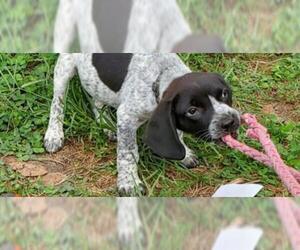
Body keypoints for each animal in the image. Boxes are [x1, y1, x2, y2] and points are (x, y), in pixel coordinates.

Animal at [44, 53, 240, 196]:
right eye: (192, 110)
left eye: (224, 93)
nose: (230, 122)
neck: (160, 74)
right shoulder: (127, 117)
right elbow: (128, 153)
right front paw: (129, 182)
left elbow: (177, 134)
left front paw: (184, 154)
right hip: (65, 68)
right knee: (57, 102)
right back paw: (54, 134)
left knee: (96, 99)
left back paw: (106, 123)